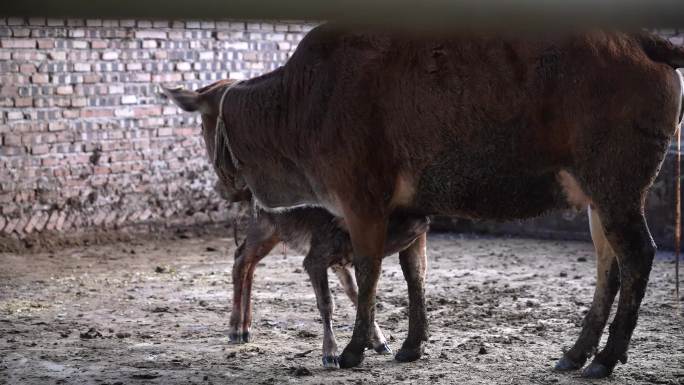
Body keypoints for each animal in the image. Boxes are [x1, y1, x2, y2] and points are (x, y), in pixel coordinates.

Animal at [162, 26, 684, 378]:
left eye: (203, 125)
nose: (225, 186)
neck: (302, 99)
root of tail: (642, 40)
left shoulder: (361, 199)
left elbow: (368, 272)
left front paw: (352, 350)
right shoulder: (410, 212)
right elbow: (414, 274)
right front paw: (411, 344)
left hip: (616, 188)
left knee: (637, 256)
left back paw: (605, 359)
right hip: (600, 197)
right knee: (608, 267)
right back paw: (576, 353)